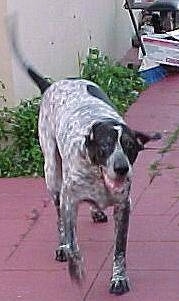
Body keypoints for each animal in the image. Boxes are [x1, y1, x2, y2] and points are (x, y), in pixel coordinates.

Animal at [9, 23, 162, 296]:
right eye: (105, 146)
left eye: (130, 147)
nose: (121, 169)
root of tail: (52, 85)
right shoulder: (69, 200)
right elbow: (73, 242)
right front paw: (75, 267)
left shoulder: (124, 206)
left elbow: (119, 250)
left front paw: (118, 278)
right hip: (52, 174)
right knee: (59, 218)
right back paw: (62, 245)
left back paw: (96, 211)